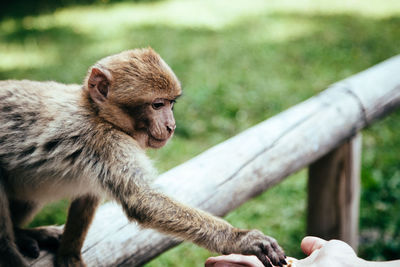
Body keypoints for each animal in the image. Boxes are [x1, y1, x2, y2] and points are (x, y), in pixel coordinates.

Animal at [0, 48, 288, 267]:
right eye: (157, 105)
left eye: (171, 103)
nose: (171, 126)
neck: (98, 114)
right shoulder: (105, 141)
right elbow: (142, 200)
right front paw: (239, 239)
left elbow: (88, 195)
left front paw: (69, 254)